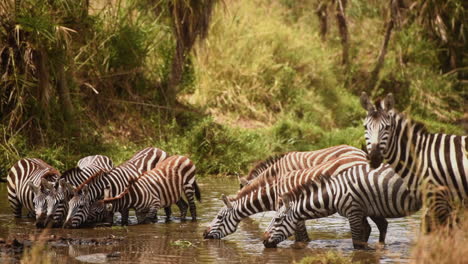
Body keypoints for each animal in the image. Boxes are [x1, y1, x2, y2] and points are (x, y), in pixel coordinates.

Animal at [202, 152, 380, 240]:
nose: (203, 234)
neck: (274, 192)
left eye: (219, 217)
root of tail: (361, 156)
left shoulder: (293, 213)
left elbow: (302, 238)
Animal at [264, 163, 420, 250]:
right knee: (383, 225)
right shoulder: (360, 211)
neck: (334, 194)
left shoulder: (354, 212)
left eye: (277, 220)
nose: (264, 241)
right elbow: (365, 235)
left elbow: (357, 243)